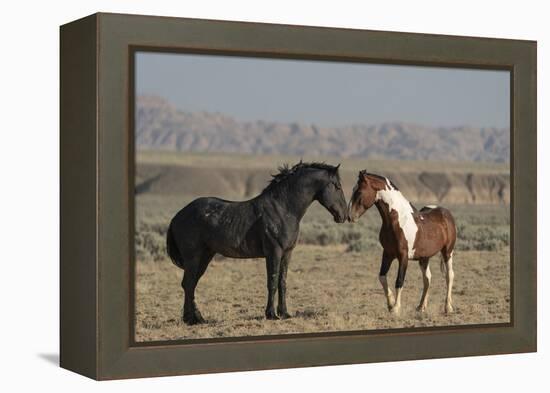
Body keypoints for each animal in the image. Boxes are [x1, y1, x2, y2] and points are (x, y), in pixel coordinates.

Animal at [168, 161, 350, 324]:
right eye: (337, 187)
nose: (344, 215)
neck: (283, 209)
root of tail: (177, 216)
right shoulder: (274, 252)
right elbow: (272, 282)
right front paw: (271, 314)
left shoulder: (287, 253)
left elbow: (282, 282)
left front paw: (284, 313)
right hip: (194, 258)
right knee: (189, 284)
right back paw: (192, 319)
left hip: (205, 256)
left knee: (190, 284)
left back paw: (196, 318)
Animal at [352, 170, 460, 314]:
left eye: (359, 191)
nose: (350, 216)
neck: (397, 221)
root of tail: (446, 213)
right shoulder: (387, 254)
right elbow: (382, 277)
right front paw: (390, 303)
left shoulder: (403, 257)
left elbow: (399, 281)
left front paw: (396, 308)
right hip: (424, 258)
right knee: (427, 278)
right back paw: (421, 306)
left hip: (447, 252)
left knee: (449, 276)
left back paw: (448, 307)